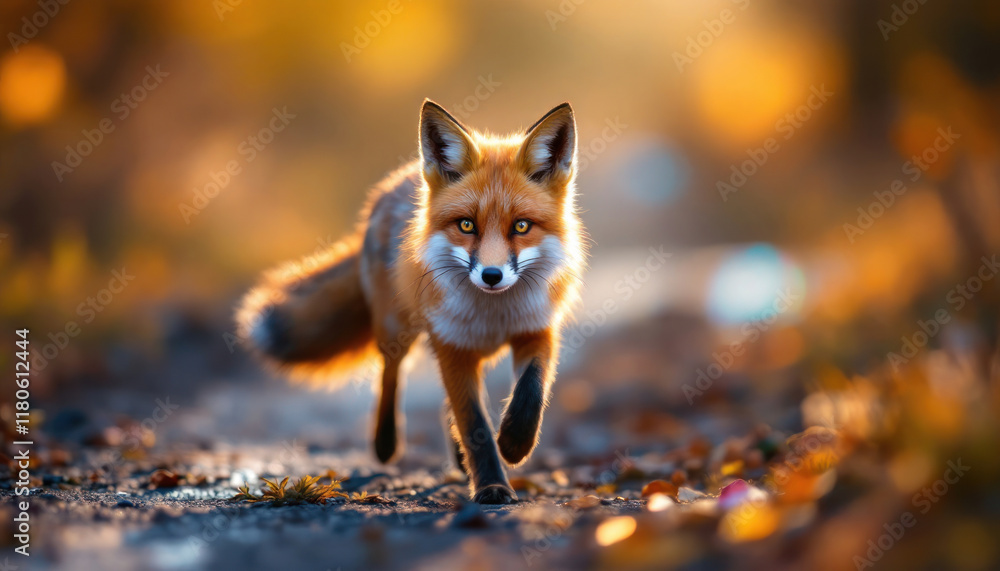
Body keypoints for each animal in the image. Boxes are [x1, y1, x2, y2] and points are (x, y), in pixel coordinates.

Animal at [236, 100, 586, 503]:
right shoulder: (453, 347)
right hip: (396, 330)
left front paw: (515, 443)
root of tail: (394, 183)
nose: (492, 275)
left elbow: (531, 391)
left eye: (522, 226)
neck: (493, 315)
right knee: (390, 374)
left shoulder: (537, 330)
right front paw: (492, 487)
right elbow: (475, 426)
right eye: (467, 225)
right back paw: (386, 443)